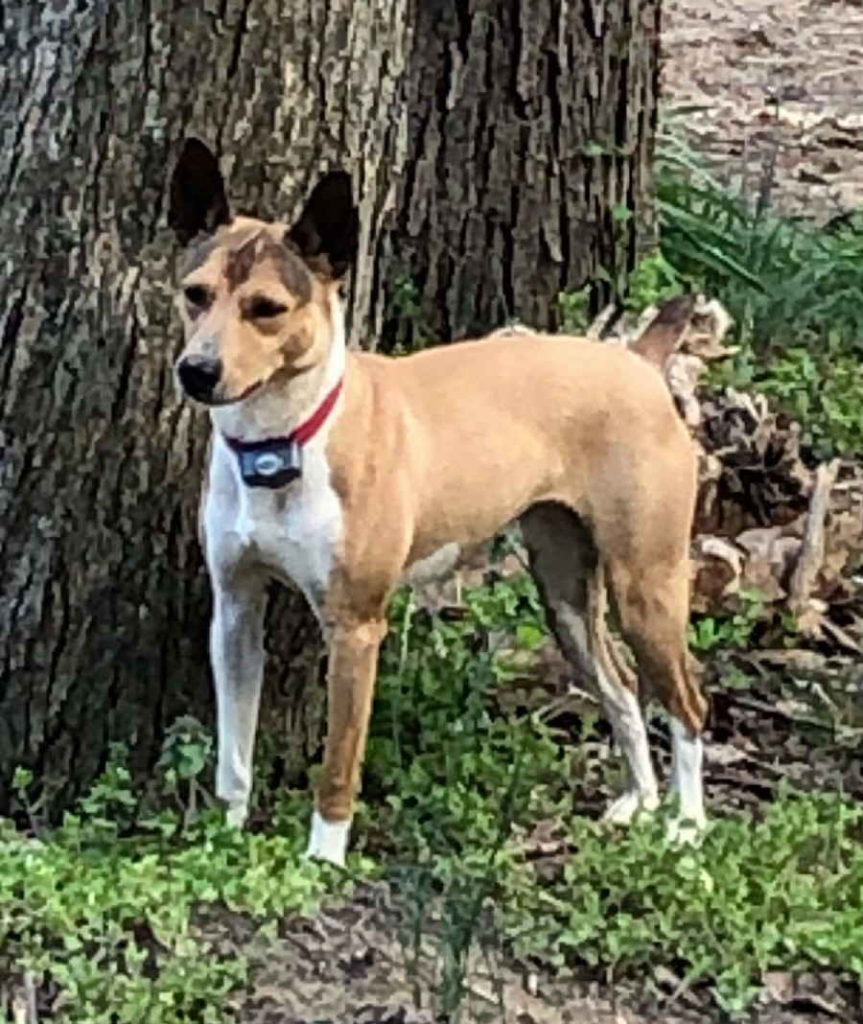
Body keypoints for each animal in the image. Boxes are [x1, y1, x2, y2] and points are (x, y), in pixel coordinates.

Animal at [166, 140, 708, 868]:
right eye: (196, 294)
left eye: (267, 308)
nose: (196, 371)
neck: (284, 444)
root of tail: (638, 361)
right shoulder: (234, 613)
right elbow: (234, 755)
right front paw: (223, 836)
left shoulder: (355, 629)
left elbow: (339, 765)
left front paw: (323, 858)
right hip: (566, 595)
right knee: (620, 686)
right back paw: (637, 803)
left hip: (644, 585)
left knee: (687, 705)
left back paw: (686, 828)